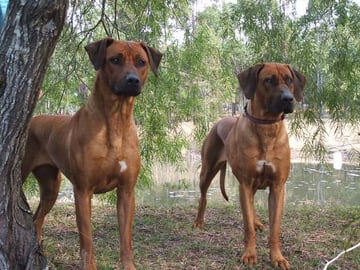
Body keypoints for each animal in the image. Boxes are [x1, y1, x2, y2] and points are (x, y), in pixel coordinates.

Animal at [21, 37, 162, 268]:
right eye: (115, 59)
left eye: (141, 62)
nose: (132, 80)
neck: (116, 120)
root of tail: (33, 120)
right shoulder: (82, 191)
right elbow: (87, 240)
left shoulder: (126, 191)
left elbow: (126, 240)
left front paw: (129, 266)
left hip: (51, 185)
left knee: (37, 217)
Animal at [194, 62, 306, 268]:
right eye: (269, 80)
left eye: (289, 80)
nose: (289, 99)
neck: (267, 126)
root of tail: (222, 119)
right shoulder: (244, 184)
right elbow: (247, 226)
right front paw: (249, 254)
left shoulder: (278, 187)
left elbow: (274, 229)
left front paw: (277, 257)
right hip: (207, 170)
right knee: (203, 196)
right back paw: (199, 221)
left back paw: (258, 222)